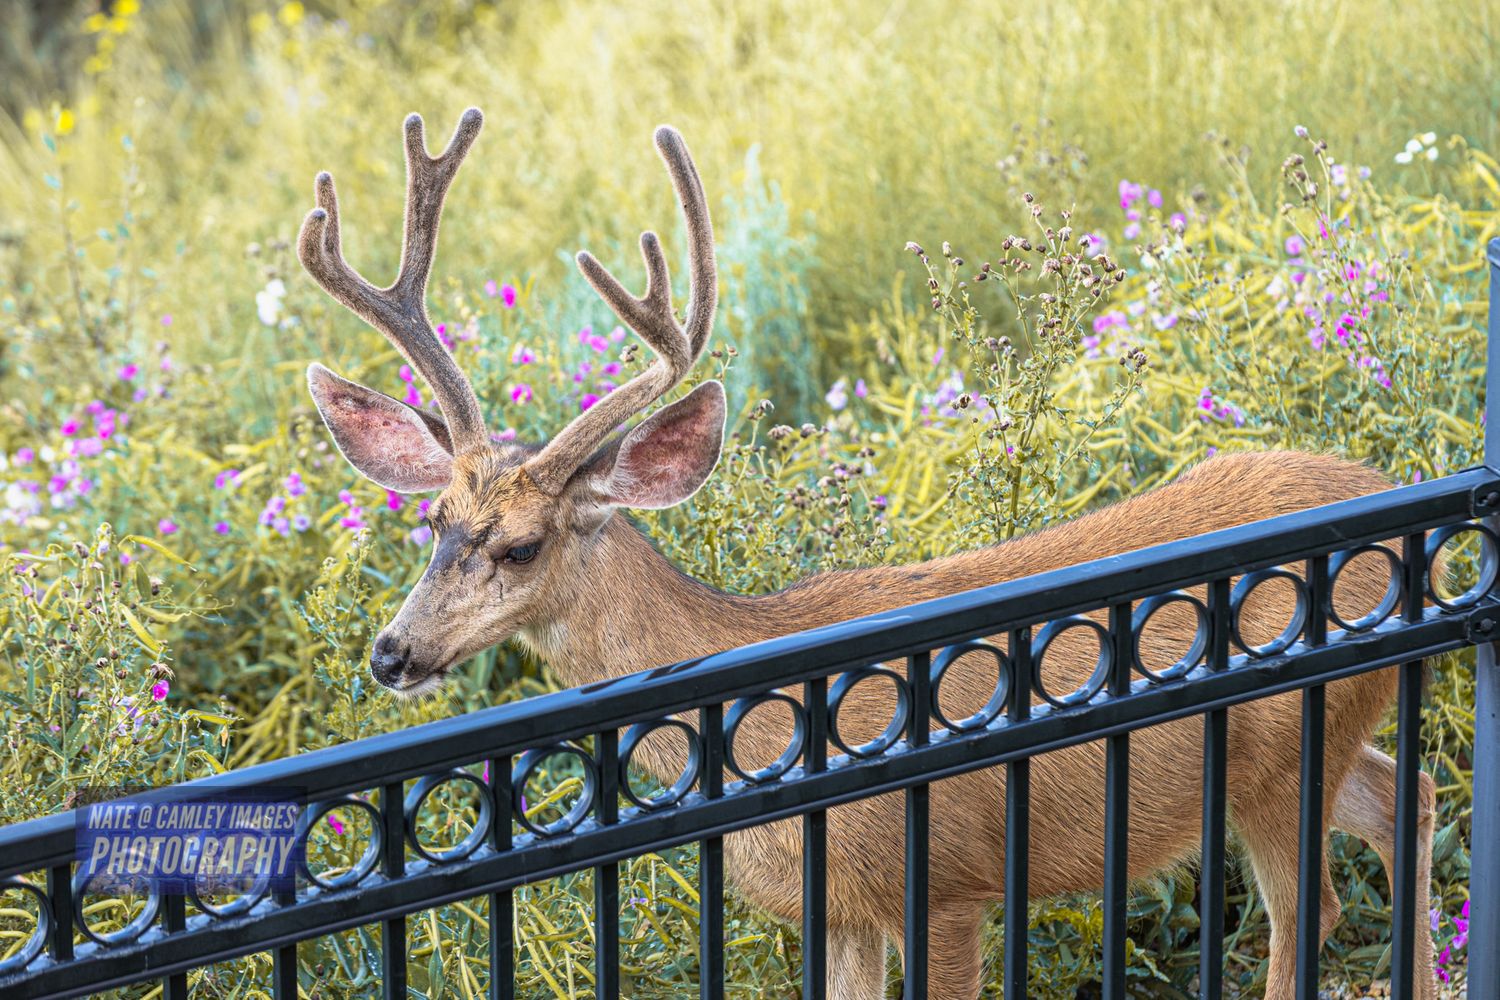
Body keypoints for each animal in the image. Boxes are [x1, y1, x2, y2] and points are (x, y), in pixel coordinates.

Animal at [295, 107, 1437, 1000]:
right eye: (435, 522)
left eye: (524, 545)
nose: (392, 653)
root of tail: (1381, 487)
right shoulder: (838, 906)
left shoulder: (948, 877)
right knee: (1406, 798)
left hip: (1282, 747)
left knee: (1313, 908)